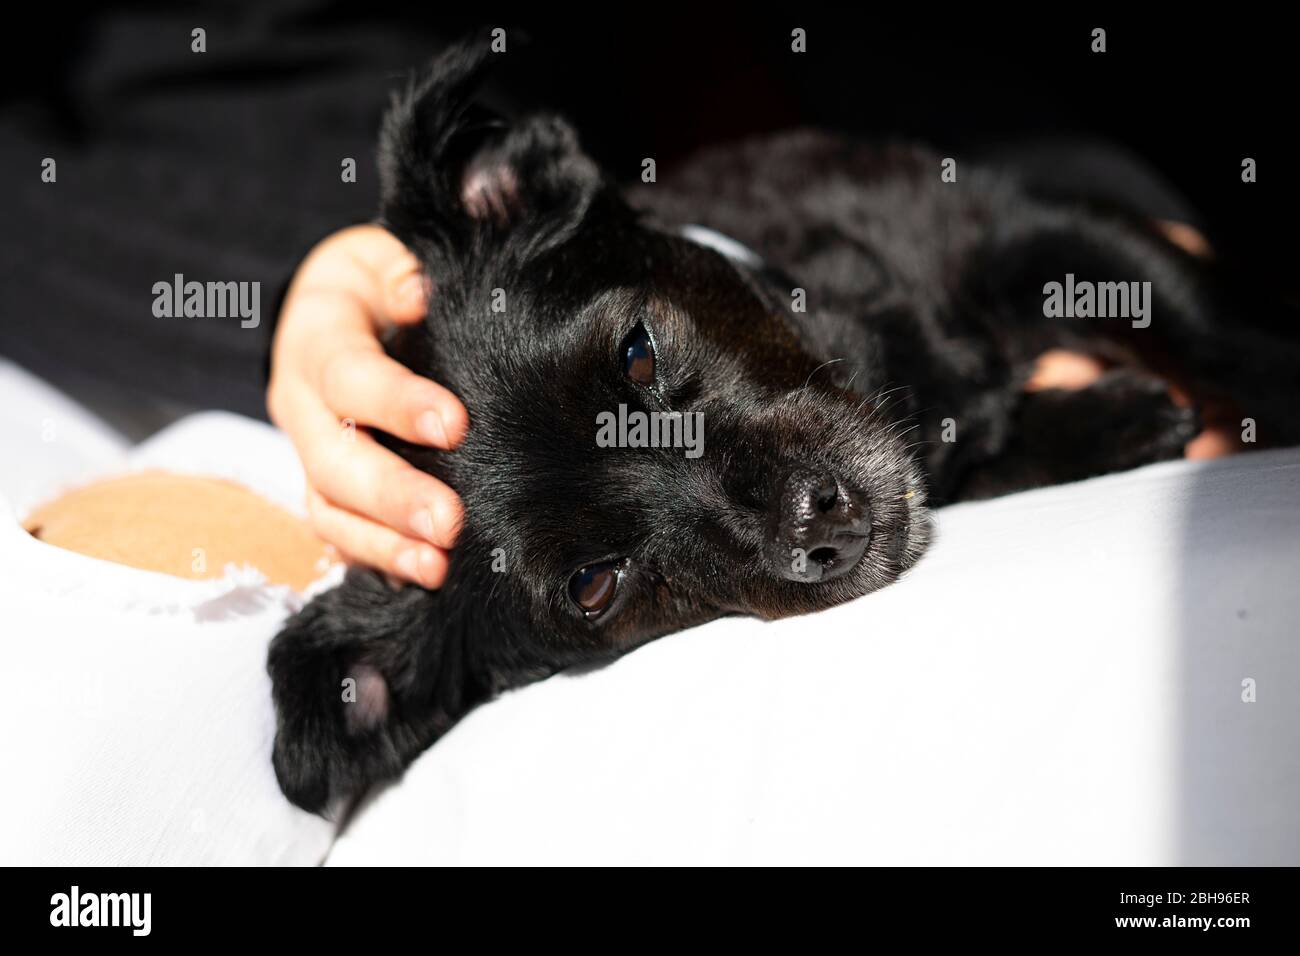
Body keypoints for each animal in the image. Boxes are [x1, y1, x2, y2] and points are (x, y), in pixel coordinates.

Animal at [269, 41, 1294, 811]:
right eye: (594, 586)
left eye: (636, 353)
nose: (819, 522)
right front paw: (1109, 421)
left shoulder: (1028, 227)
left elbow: (1218, 334)